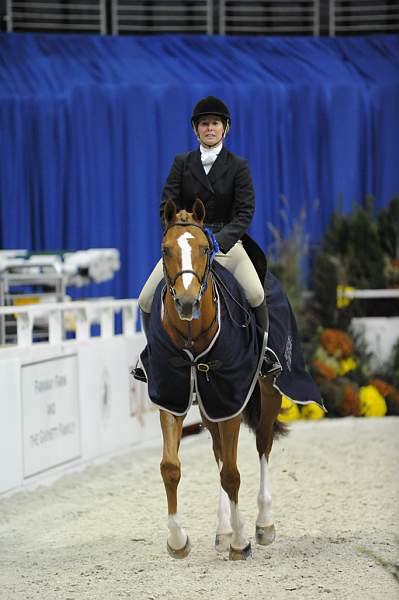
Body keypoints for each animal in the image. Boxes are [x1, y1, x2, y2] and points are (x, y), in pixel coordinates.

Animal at [158, 199, 286, 560]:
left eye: (205, 248)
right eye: (165, 249)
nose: (187, 303)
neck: (192, 334)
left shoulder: (232, 400)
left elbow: (231, 474)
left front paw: (242, 543)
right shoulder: (170, 396)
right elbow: (171, 467)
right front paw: (178, 541)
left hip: (267, 393)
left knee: (263, 445)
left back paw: (263, 525)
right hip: (208, 405)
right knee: (217, 451)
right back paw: (223, 530)